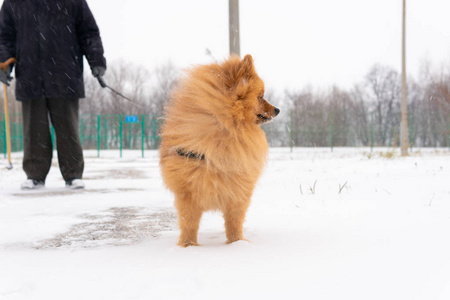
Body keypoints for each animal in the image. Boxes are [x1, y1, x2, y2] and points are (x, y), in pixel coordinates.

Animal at [158, 55, 278, 247]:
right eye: (261, 96)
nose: (277, 109)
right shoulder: (188, 192)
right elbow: (189, 222)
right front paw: (188, 245)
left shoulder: (237, 190)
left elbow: (234, 221)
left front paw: (237, 243)